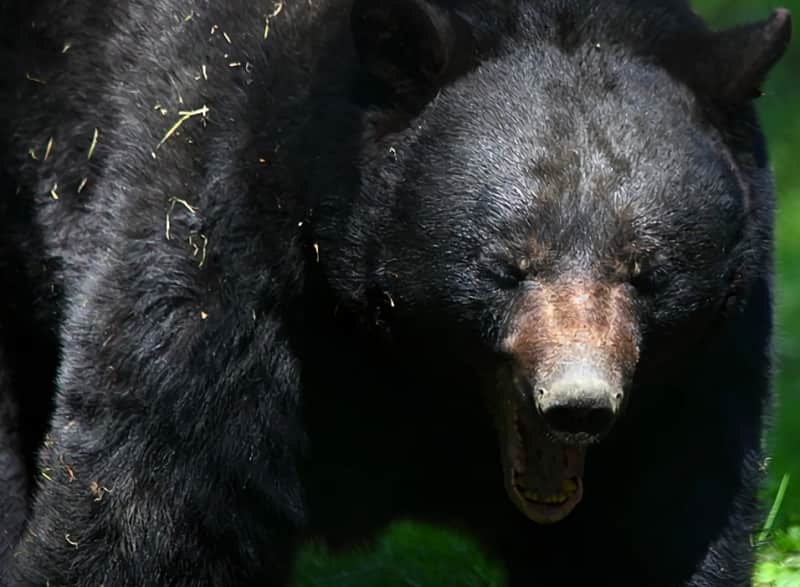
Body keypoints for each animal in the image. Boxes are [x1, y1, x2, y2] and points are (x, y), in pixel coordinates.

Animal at [0, 0, 792, 585]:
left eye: (644, 270)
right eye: (506, 265)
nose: (578, 404)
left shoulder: (698, 375)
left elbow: (660, 524)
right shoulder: (222, 222)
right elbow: (156, 493)